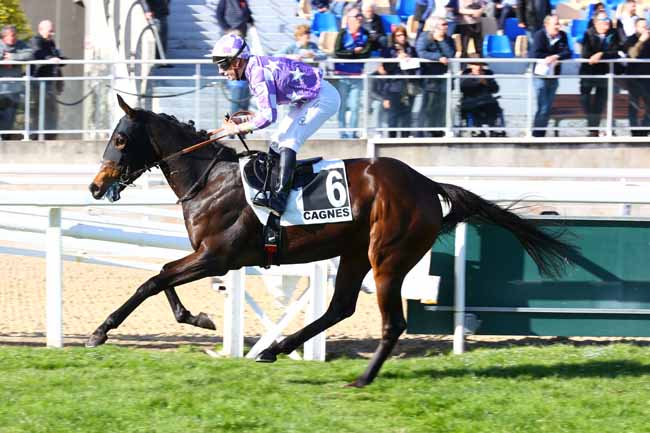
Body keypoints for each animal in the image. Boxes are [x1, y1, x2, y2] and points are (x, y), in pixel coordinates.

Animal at [86, 96, 576, 386]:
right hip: (355, 253)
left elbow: (152, 280)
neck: (211, 179)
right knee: (340, 307)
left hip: (387, 257)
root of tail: (426, 184)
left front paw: (100, 331)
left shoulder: (218, 256)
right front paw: (198, 317)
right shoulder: (207, 256)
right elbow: (160, 277)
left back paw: (361, 377)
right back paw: (277, 349)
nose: (94, 186)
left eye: (120, 139)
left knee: (391, 322)